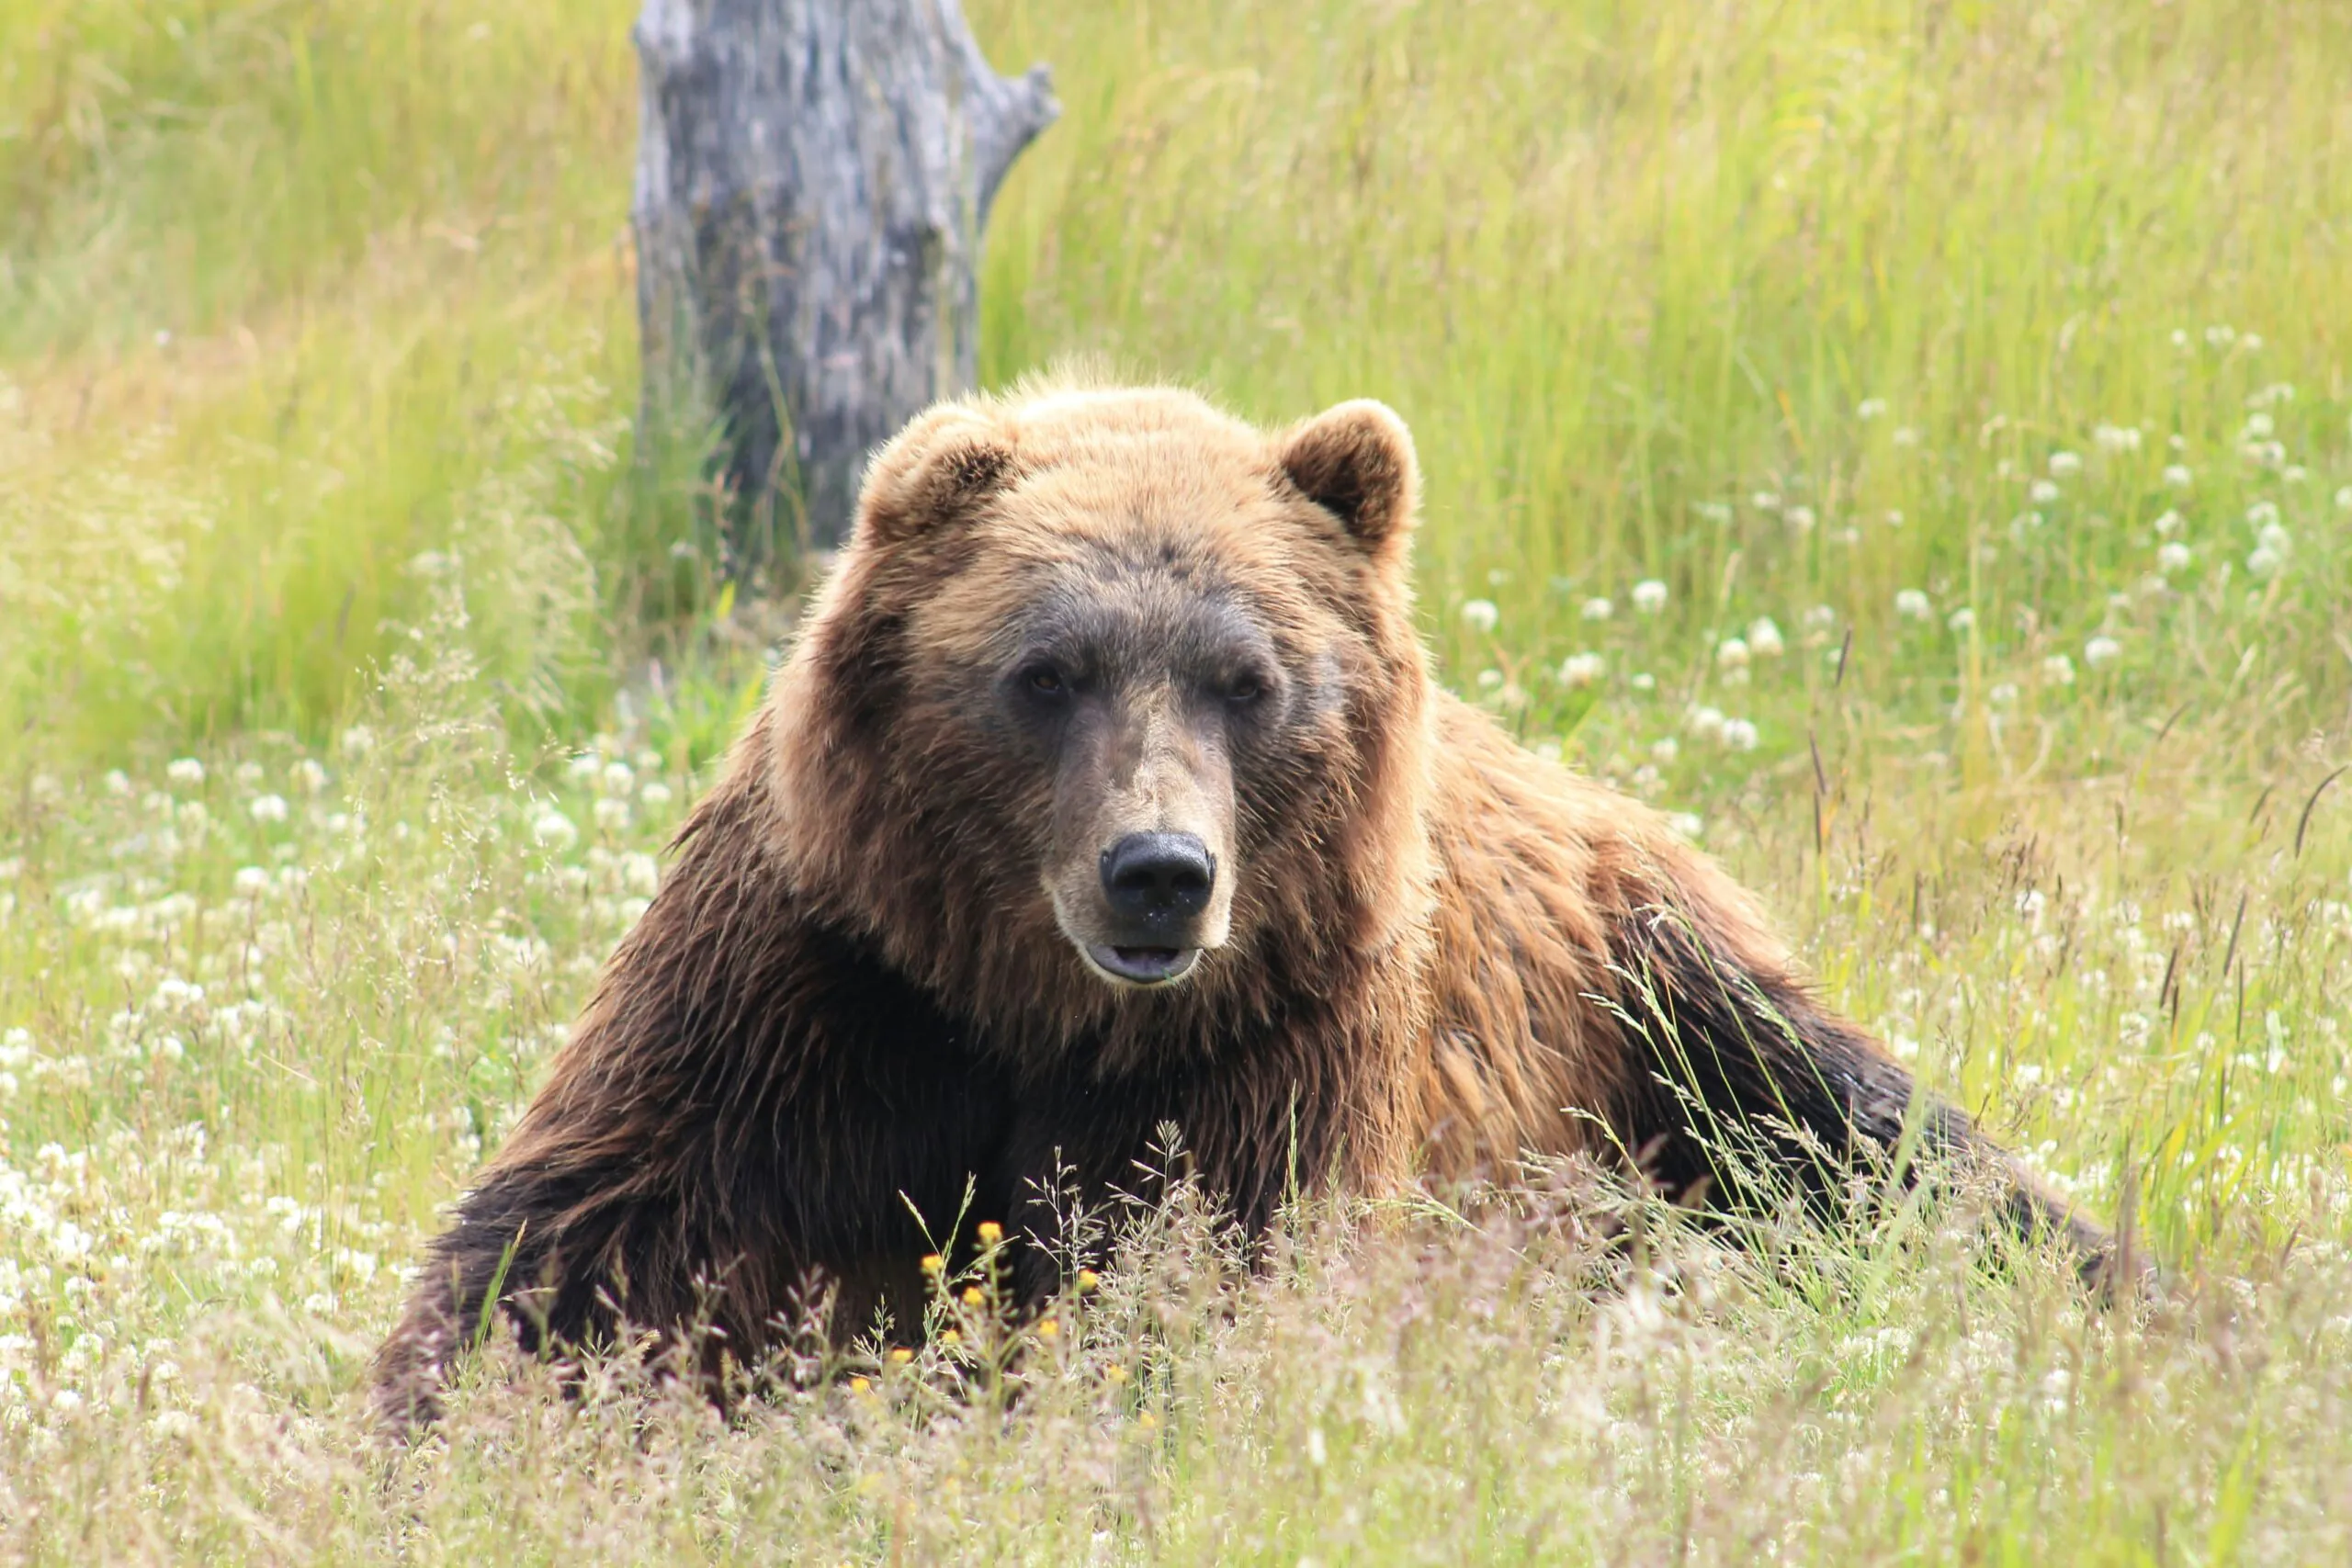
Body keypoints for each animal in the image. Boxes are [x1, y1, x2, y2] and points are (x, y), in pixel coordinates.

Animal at [371, 383, 2117, 1438]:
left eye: (1248, 676)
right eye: (1046, 668)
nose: (1159, 869)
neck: (1038, 1007)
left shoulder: (1272, 1037)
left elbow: (1203, 1280)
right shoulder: (828, 983)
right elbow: (600, 1234)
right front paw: (449, 1424)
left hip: (1660, 998)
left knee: (1887, 1146)